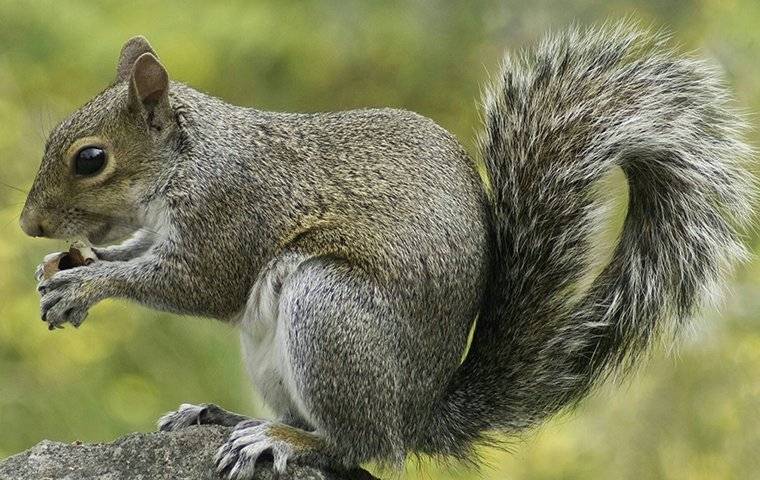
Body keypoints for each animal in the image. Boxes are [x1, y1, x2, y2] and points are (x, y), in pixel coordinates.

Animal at [19, 23, 756, 480]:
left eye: (91, 159)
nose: (28, 224)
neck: (189, 160)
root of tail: (416, 412)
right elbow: (142, 252)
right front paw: (66, 268)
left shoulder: (232, 213)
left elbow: (198, 283)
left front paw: (86, 284)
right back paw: (225, 416)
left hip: (330, 311)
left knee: (358, 446)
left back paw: (283, 439)